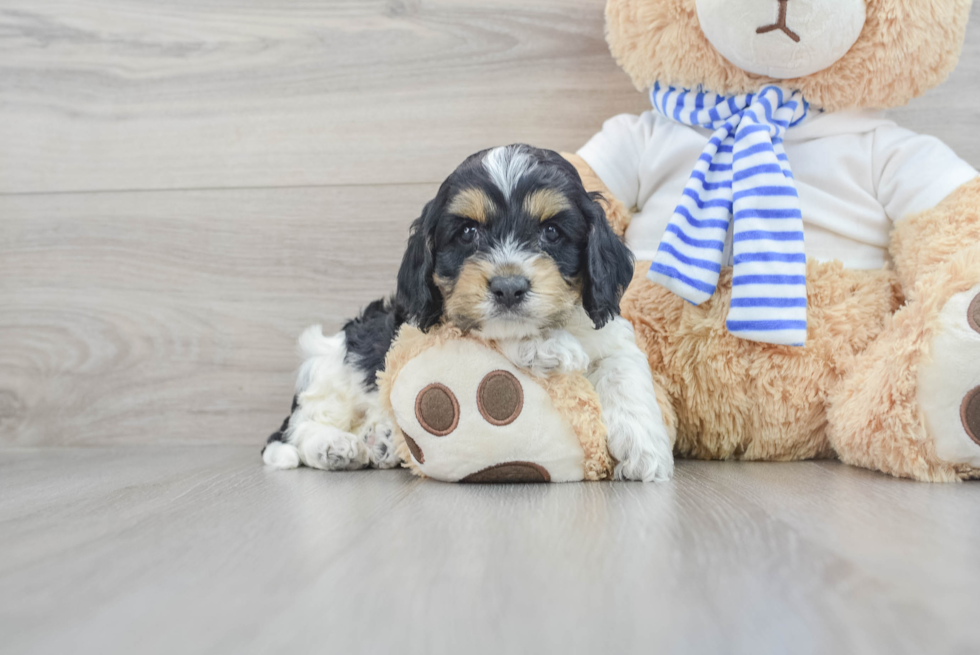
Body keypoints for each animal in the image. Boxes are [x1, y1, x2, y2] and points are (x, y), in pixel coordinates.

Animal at [262, 144, 672, 482]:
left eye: (552, 232)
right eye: (468, 232)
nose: (508, 288)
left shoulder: (609, 334)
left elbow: (624, 371)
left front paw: (645, 449)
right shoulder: (442, 319)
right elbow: (489, 331)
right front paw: (547, 346)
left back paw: (380, 441)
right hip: (331, 371)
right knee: (298, 428)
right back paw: (334, 447)